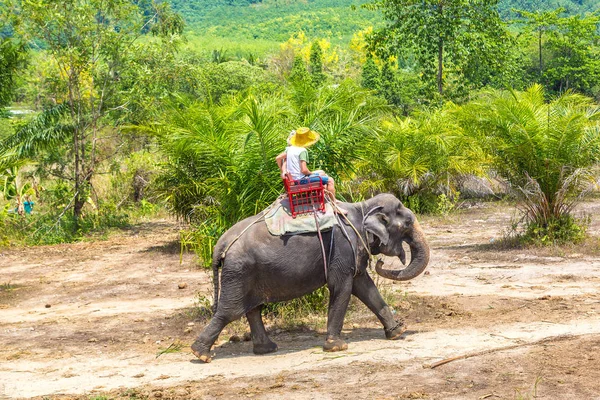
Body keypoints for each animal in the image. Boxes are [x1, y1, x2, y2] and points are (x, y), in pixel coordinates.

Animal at [190, 194, 428, 362]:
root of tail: (221, 244)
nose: (380, 263)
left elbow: (365, 287)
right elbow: (342, 287)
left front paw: (398, 332)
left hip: (246, 273)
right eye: (407, 223)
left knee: (253, 309)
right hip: (238, 271)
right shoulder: (342, 247)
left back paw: (267, 349)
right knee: (229, 311)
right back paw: (200, 354)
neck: (362, 207)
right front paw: (337, 347)